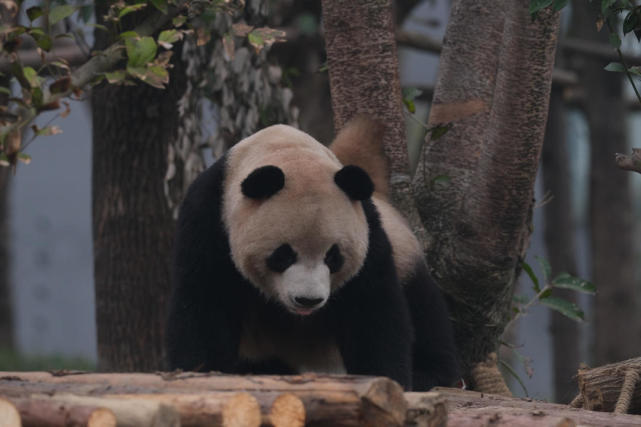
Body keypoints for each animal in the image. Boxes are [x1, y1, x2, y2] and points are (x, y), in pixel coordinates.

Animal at [164, 117, 456, 392]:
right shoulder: (209, 220)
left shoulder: (370, 233)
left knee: (425, 311)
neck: (287, 151)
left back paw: (429, 374)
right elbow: (205, 303)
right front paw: (204, 372)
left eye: (333, 257)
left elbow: (371, 310)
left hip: (406, 256)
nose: (307, 300)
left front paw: (385, 377)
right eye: (283, 255)